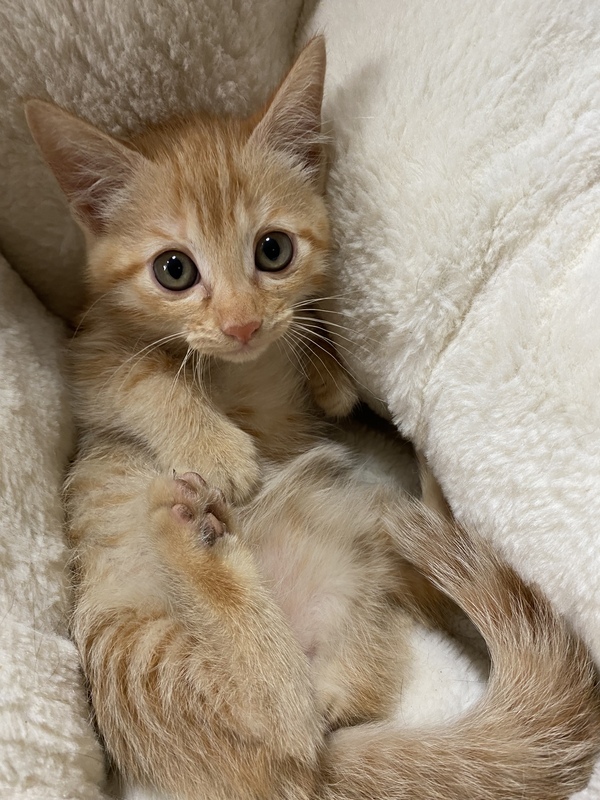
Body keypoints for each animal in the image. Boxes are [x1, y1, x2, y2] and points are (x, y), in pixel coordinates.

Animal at [26, 37, 600, 800]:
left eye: (273, 250)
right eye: (174, 270)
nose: (242, 324)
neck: (243, 368)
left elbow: (307, 328)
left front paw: (329, 379)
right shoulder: (89, 357)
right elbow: (145, 380)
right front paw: (218, 451)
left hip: (368, 573)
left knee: (324, 697)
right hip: (144, 652)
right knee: (276, 714)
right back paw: (192, 533)